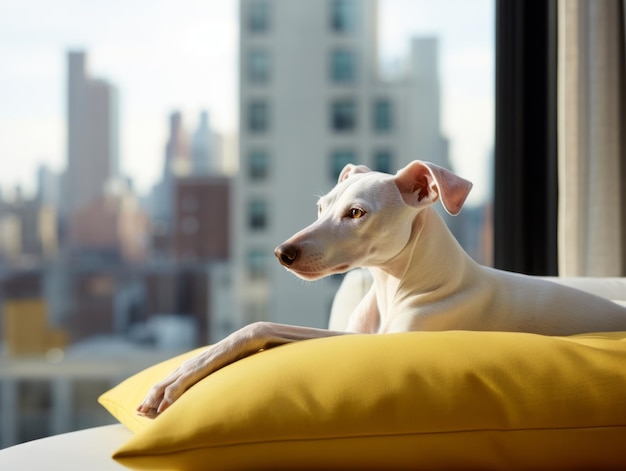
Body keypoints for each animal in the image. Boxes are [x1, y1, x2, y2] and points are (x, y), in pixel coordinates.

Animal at [136, 160, 624, 418]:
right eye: (321, 207)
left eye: (356, 213)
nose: (281, 253)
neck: (399, 284)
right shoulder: (360, 333)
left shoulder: (386, 342)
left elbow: (259, 325)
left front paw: (174, 380)